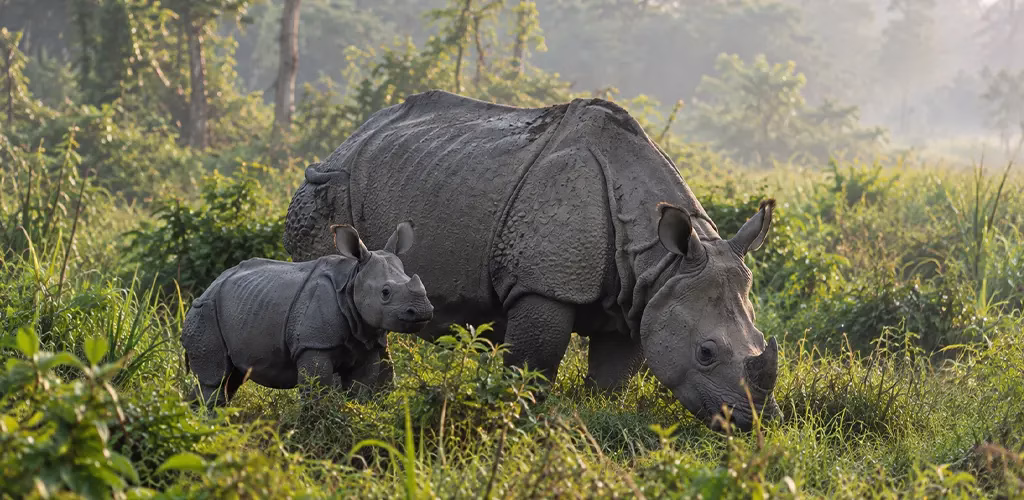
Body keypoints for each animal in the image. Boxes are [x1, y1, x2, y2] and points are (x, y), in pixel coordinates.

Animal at [181, 222, 433, 406]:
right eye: (385, 293)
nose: (423, 310)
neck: (353, 279)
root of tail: (210, 286)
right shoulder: (314, 344)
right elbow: (317, 390)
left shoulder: (367, 342)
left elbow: (361, 390)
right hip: (205, 312)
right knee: (215, 382)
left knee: (229, 380)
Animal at [283, 90, 780, 431]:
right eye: (706, 353)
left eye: (761, 339)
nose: (754, 421)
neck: (663, 259)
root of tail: (346, 141)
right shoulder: (543, 285)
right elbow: (531, 364)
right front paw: (517, 415)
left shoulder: (644, 296)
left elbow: (613, 377)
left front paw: (598, 412)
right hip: (327, 189)